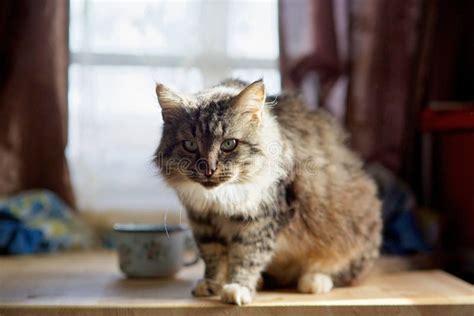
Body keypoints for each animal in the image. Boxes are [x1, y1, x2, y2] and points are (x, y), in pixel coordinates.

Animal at [154, 79, 384, 304]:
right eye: (190, 145)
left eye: (229, 144)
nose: (208, 170)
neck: (220, 199)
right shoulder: (203, 221)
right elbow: (213, 257)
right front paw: (212, 284)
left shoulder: (261, 219)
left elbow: (247, 257)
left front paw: (238, 288)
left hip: (352, 237)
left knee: (343, 272)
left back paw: (314, 281)